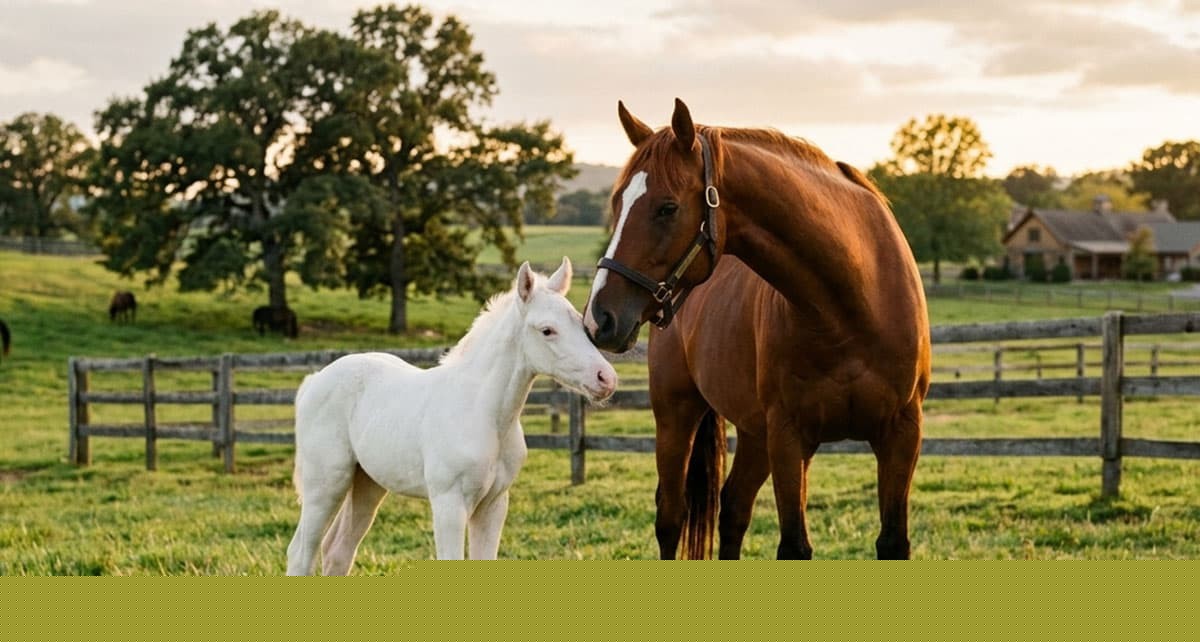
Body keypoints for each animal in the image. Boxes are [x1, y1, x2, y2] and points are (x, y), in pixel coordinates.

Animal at [287, 258, 618, 571]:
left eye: (581, 324)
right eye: (547, 330)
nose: (606, 378)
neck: (483, 412)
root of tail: (314, 380)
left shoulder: (493, 504)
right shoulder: (449, 503)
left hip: (367, 483)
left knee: (337, 551)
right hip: (325, 485)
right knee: (300, 552)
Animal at [583, 99, 930, 560]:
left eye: (667, 207)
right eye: (617, 202)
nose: (599, 318)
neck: (853, 306)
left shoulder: (901, 435)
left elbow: (892, 542)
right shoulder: (788, 437)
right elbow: (794, 546)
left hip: (753, 433)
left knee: (732, 510)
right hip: (678, 414)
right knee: (671, 516)